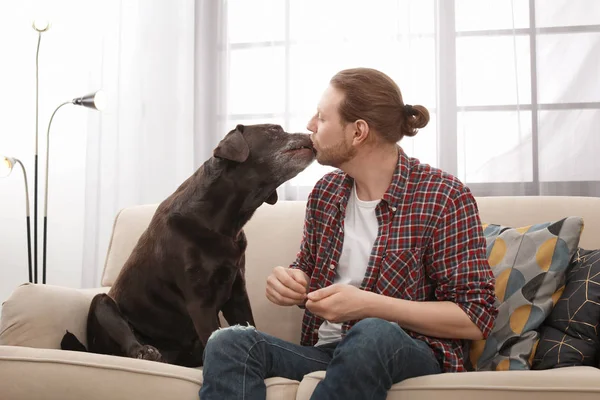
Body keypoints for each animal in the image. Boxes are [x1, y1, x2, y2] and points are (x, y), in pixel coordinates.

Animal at [60, 124, 314, 366]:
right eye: (274, 130)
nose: (310, 135)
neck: (221, 222)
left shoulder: (237, 294)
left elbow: (248, 326)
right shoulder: (199, 301)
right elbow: (214, 332)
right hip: (102, 303)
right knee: (123, 334)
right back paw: (145, 352)